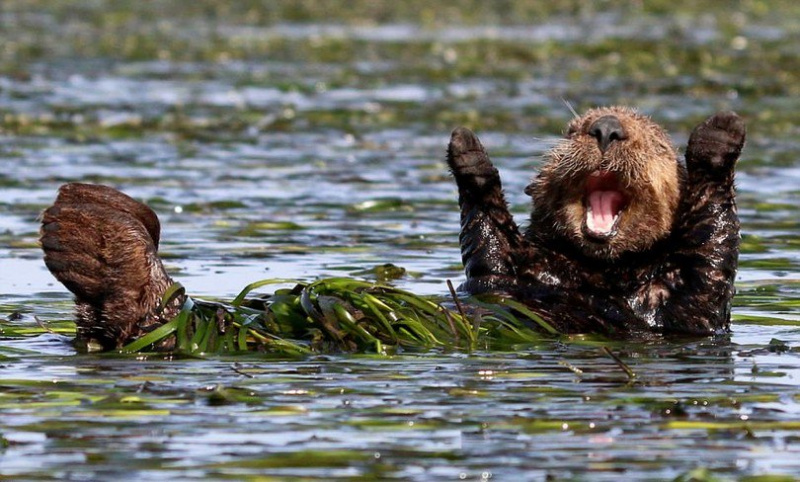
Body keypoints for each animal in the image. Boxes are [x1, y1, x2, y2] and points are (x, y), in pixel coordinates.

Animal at [450, 108, 744, 336]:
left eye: (656, 143)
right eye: (572, 130)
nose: (606, 128)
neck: (599, 272)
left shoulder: (685, 299)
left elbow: (712, 246)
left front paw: (721, 131)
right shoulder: (505, 270)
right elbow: (490, 241)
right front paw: (467, 149)